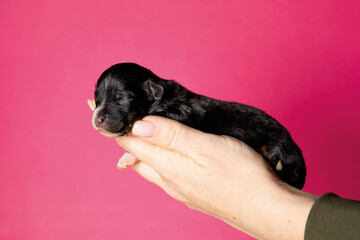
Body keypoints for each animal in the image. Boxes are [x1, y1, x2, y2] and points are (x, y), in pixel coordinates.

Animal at [93, 62, 306, 189]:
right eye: (97, 99)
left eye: (121, 98)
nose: (97, 119)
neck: (160, 97)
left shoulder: (183, 114)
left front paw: (126, 156)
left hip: (277, 143)